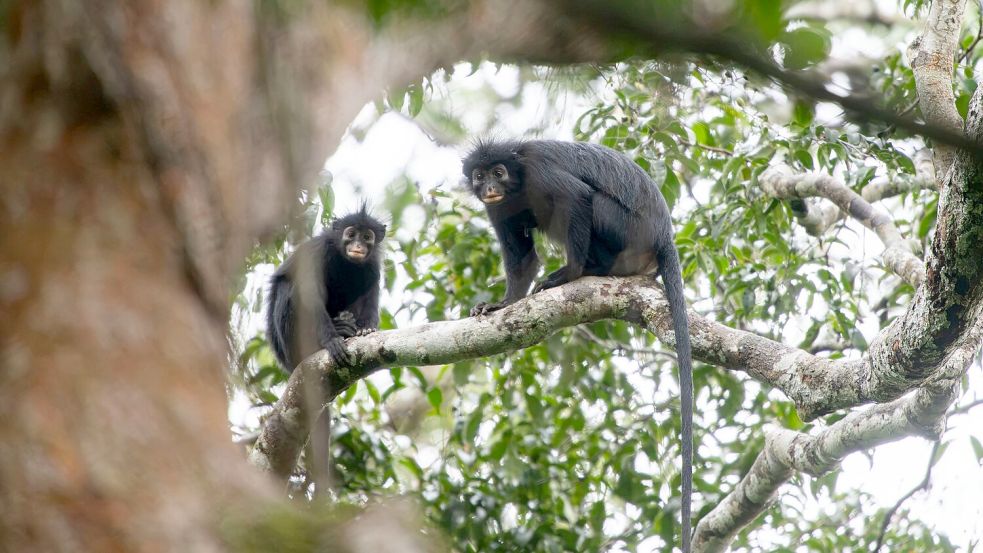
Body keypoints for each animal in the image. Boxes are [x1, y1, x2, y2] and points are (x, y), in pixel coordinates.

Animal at [266, 205, 386, 371]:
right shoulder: (317, 251)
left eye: (367, 237)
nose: (358, 246)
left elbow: (370, 294)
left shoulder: (373, 265)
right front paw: (331, 340)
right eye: (351, 234)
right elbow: (310, 294)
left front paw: (367, 328)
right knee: (287, 287)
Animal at [463, 139, 694, 552]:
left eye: (498, 172)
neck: (517, 183)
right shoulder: (499, 207)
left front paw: (569, 274)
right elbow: (522, 258)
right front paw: (502, 304)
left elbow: (576, 197)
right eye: (479, 175)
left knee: (589, 202)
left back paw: (588, 270)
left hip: (626, 229)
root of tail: (663, 234)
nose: (489, 185)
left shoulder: (538, 172)